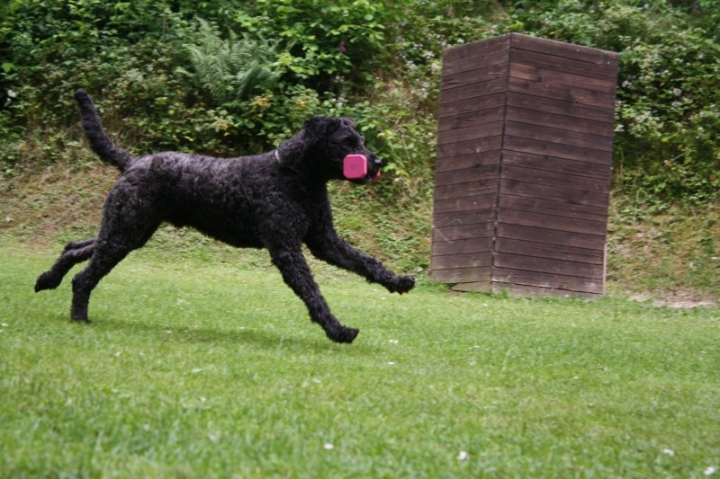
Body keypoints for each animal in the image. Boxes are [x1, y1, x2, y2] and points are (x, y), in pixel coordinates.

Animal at [35, 90, 416, 344]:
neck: (295, 176)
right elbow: (312, 291)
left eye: (361, 139)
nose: (377, 162)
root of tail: (134, 162)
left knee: (75, 247)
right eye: (347, 141)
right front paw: (337, 329)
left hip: (128, 232)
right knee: (84, 276)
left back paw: (47, 280)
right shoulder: (287, 249)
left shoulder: (325, 241)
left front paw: (397, 281)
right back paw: (79, 316)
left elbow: (366, 262)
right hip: (124, 233)